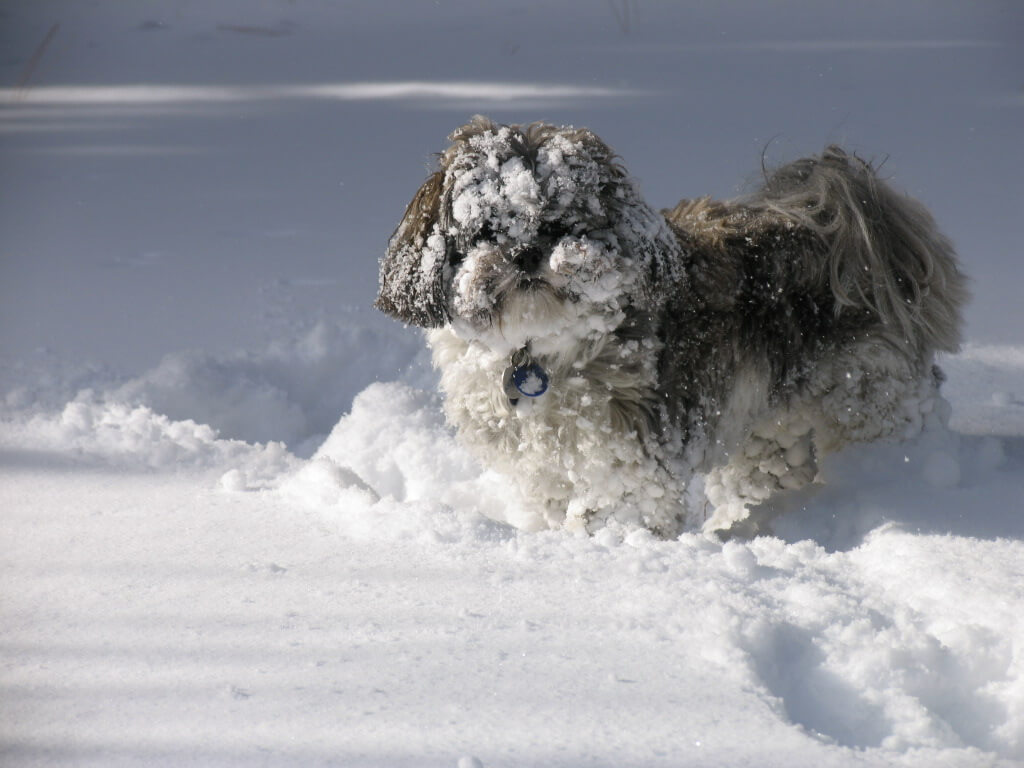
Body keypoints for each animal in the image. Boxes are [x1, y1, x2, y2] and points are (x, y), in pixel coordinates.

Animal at [376, 117, 966, 536]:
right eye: (485, 229)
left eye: (565, 223)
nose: (524, 253)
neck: (541, 349)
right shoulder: (543, 466)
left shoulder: (630, 459)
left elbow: (620, 512)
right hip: (769, 422)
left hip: (869, 393)